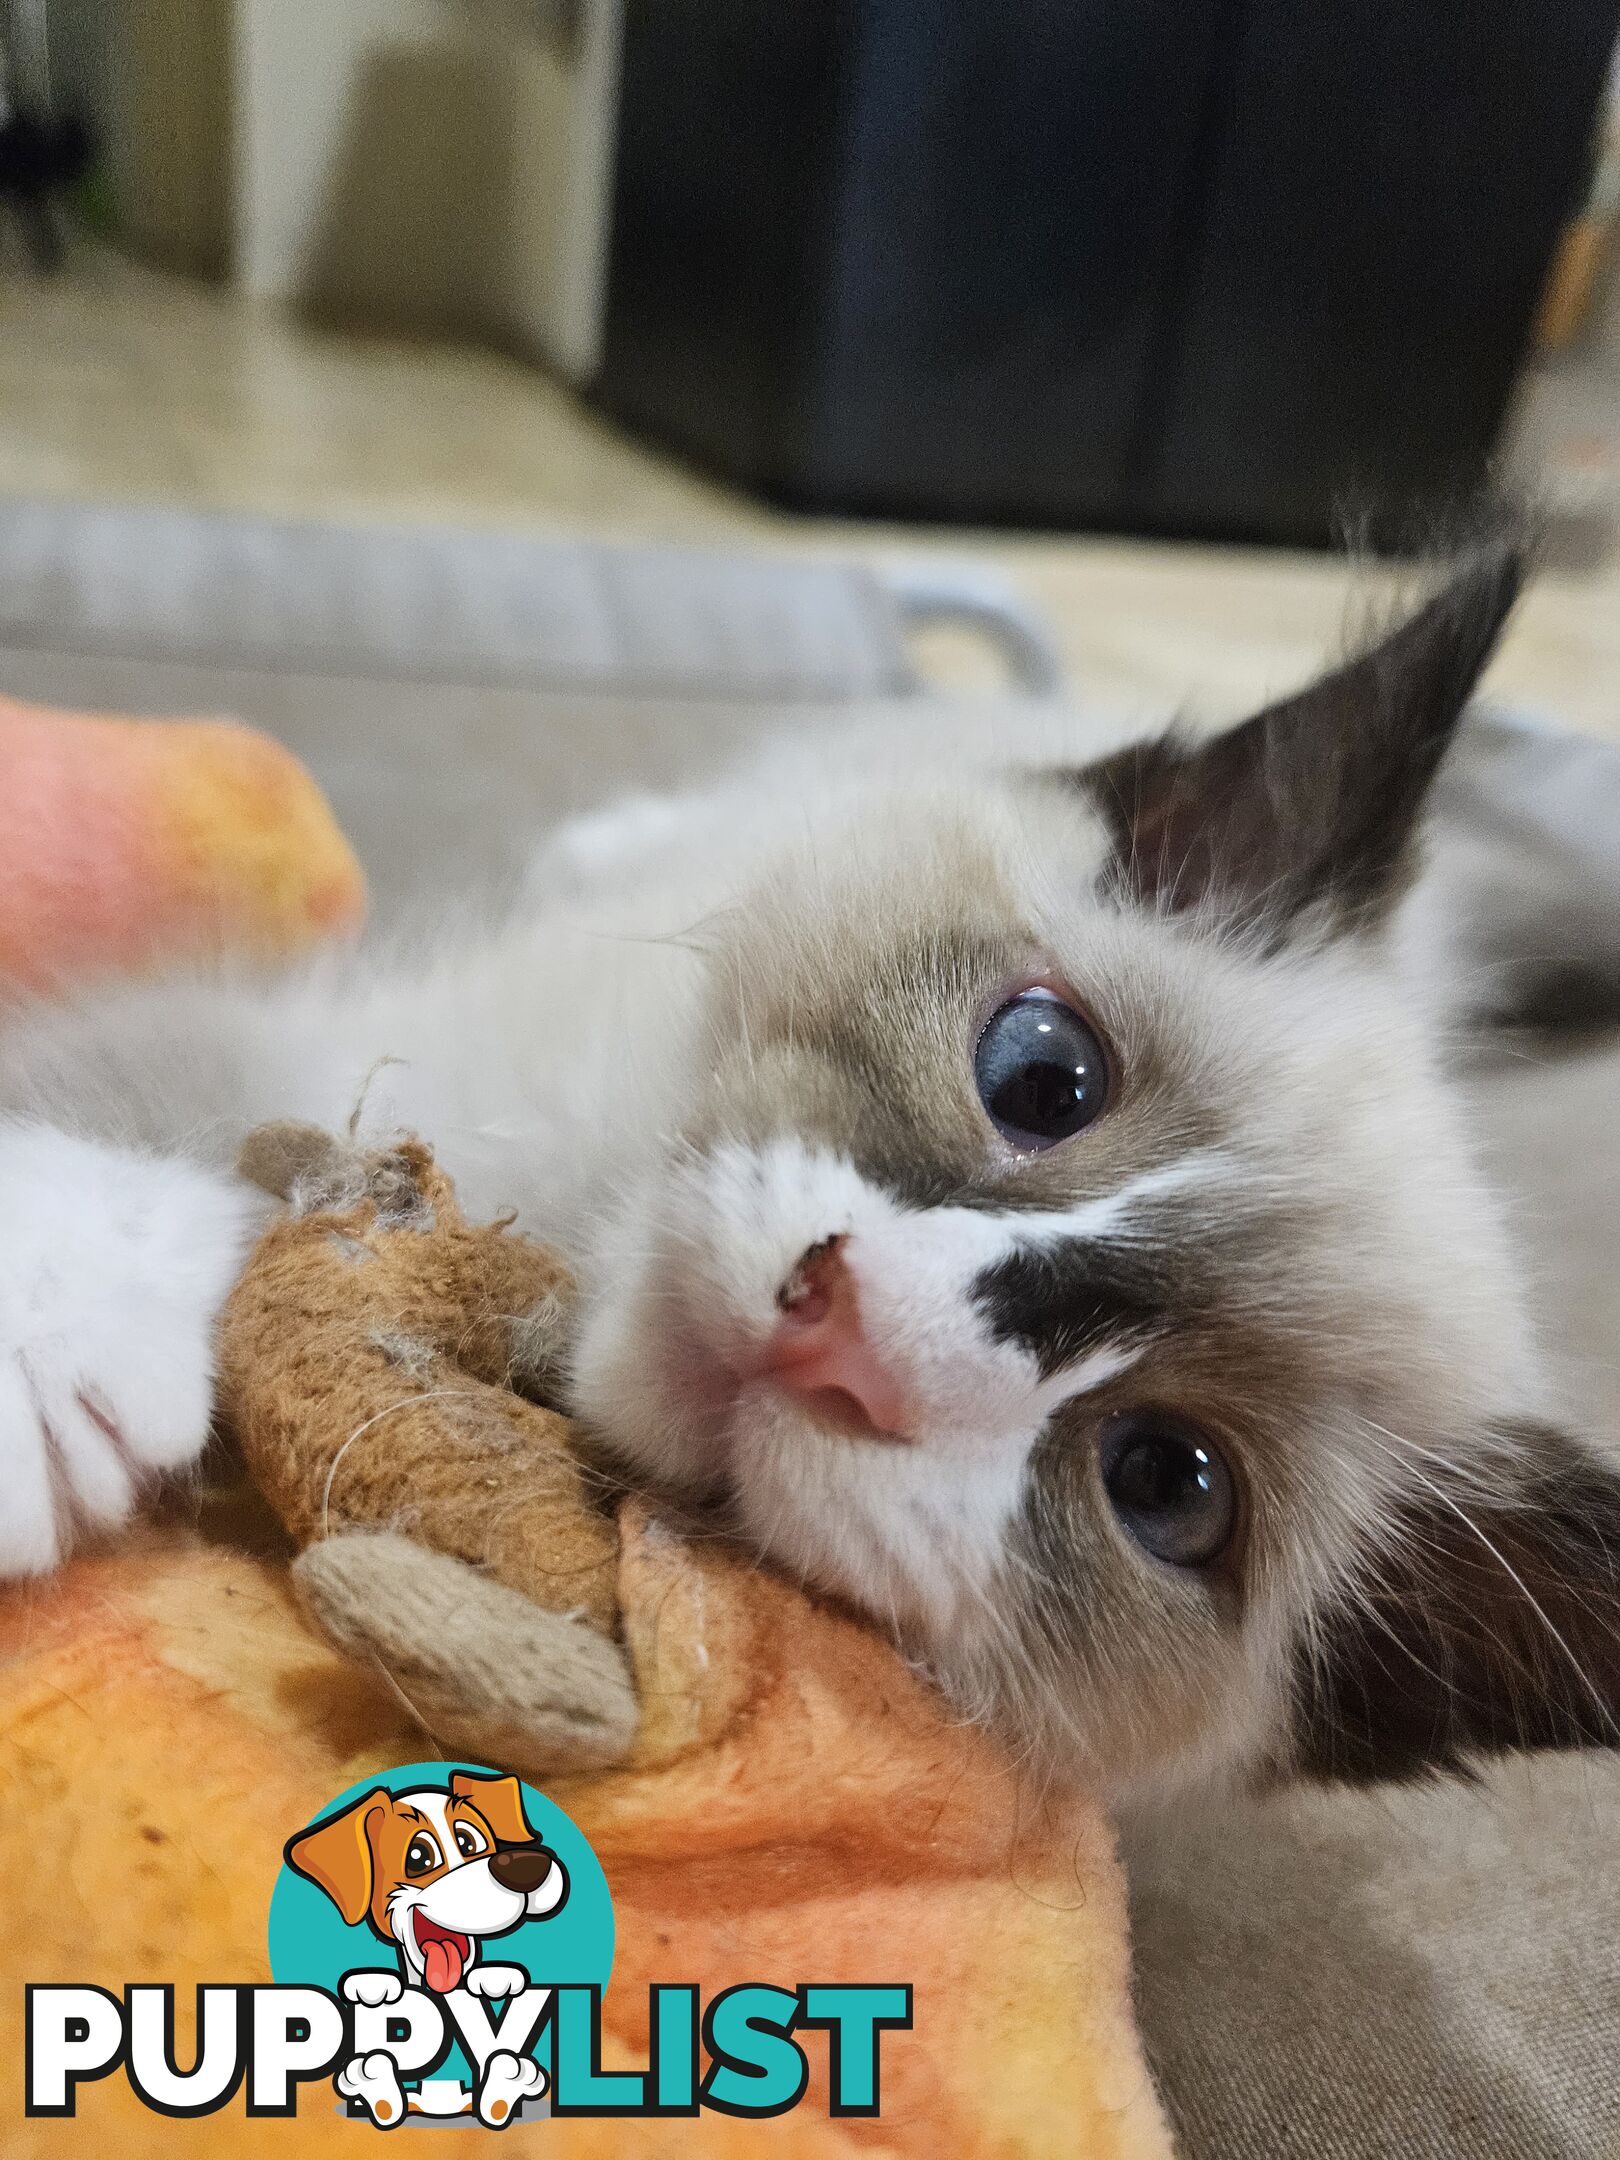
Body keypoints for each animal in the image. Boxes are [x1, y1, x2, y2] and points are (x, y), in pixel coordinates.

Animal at [3, 548, 1620, 1797]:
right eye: (1044, 1077)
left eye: (1167, 1483)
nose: (849, 1326)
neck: (570, 1271)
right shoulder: (356, 1047)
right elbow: (123, 1100)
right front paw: (46, 1351)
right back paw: (602, 833)